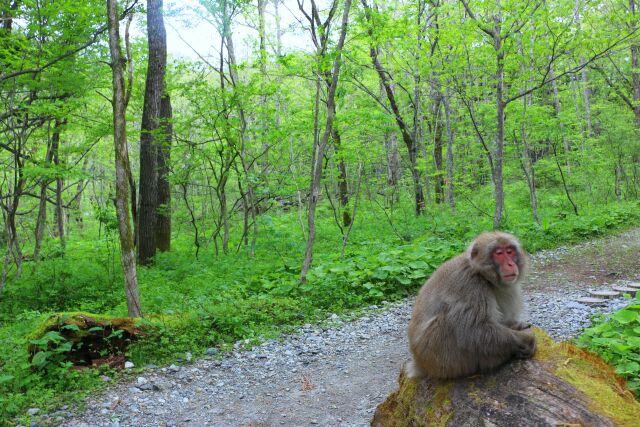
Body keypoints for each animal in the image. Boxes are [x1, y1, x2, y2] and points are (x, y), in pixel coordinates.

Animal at [408, 232, 536, 380]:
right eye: (498, 253)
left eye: (509, 251)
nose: (510, 264)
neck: (482, 274)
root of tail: (419, 364)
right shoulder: (470, 285)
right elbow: (473, 331)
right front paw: (525, 340)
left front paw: (515, 325)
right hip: (439, 358)